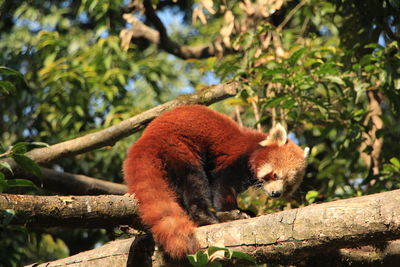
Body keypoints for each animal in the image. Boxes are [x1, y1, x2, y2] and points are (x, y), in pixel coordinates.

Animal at [122, 104, 310, 260]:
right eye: (276, 175)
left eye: (288, 185)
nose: (276, 193)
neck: (252, 148)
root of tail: (147, 138)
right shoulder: (235, 160)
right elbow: (223, 186)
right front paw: (232, 213)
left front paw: (243, 210)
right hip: (179, 147)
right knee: (194, 180)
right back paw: (206, 216)